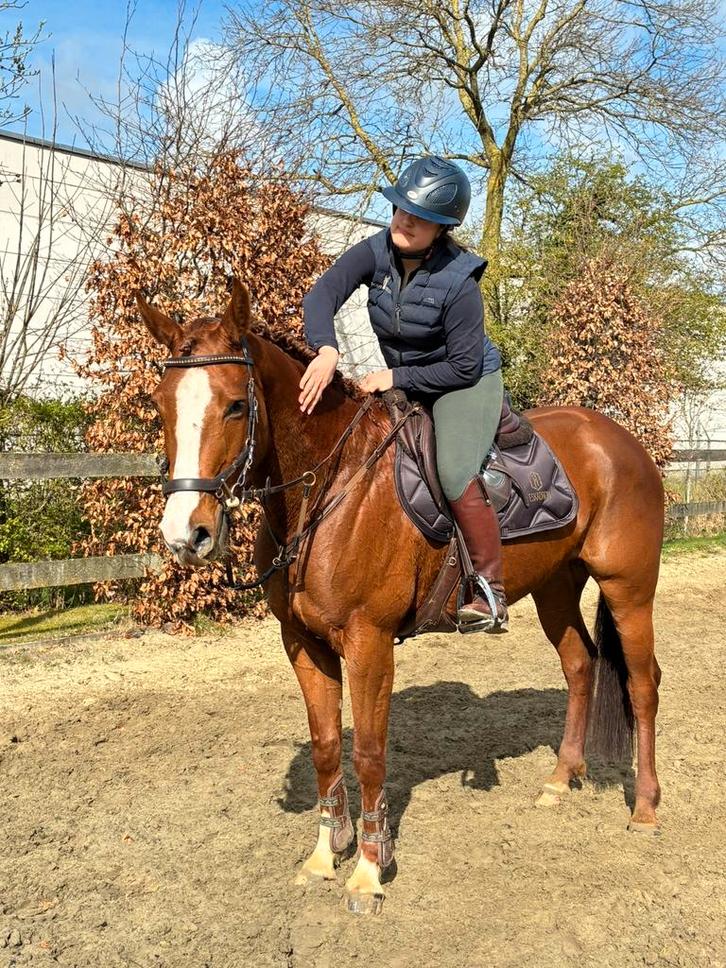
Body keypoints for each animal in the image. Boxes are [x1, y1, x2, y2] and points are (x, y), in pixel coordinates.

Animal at [136, 280, 664, 915]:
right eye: (161, 405)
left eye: (236, 405)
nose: (185, 535)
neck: (332, 486)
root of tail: (620, 440)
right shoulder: (303, 643)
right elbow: (326, 746)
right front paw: (325, 854)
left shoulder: (370, 642)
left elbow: (368, 752)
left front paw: (368, 869)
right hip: (555, 588)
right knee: (581, 666)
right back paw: (561, 780)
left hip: (629, 590)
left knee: (642, 684)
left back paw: (645, 809)